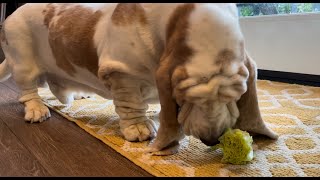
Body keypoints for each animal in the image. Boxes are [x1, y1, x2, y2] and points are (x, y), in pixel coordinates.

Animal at [0, 3, 278, 153]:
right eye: (184, 96)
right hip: (23, 59)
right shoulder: (122, 72)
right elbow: (131, 104)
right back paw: (36, 110)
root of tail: (11, 15)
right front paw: (139, 129)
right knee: (28, 90)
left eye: (239, 93)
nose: (211, 140)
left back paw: (77, 95)